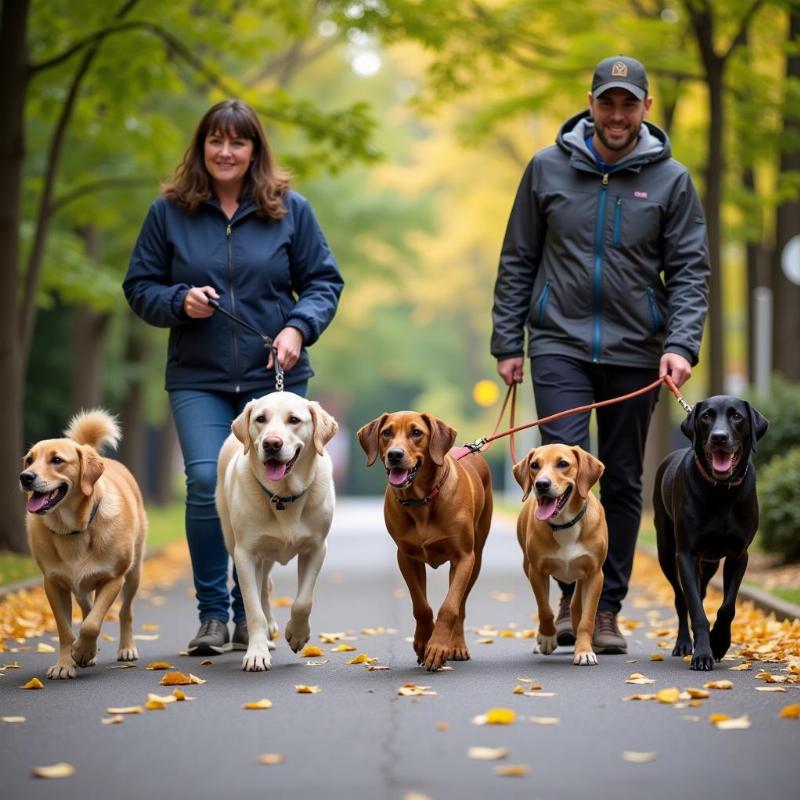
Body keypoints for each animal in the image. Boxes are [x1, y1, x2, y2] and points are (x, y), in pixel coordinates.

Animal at [20, 412, 148, 680]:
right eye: (29, 460)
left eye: (57, 460)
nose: (25, 477)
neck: (72, 530)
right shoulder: (53, 584)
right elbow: (66, 629)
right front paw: (65, 663)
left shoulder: (113, 579)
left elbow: (91, 624)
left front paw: (81, 652)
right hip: (80, 586)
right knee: (88, 606)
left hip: (133, 574)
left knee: (124, 612)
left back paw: (125, 648)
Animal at [216, 390, 338, 672]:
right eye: (261, 419)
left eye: (294, 420)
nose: (271, 443)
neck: (284, 495)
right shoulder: (246, 553)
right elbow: (253, 609)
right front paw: (257, 653)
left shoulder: (317, 548)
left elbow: (303, 602)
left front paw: (297, 634)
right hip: (236, 543)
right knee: (259, 589)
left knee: (267, 584)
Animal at [358, 412, 494, 668]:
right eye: (387, 433)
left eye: (416, 432)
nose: (395, 454)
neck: (421, 501)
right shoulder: (406, 557)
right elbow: (421, 606)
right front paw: (423, 642)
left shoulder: (463, 557)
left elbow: (450, 606)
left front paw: (438, 646)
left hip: (476, 558)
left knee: (461, 604)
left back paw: (457, 645)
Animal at [512, 446, 608, 664]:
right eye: (534, 465)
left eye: (563, 463)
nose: (541, 484)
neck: (565, 524)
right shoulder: (537, 572)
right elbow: (545, 609)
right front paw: (547, 637)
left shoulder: (595, 575)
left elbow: (587, 618)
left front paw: (584, 650)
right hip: (527, 566)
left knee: (575, 605)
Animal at [656, 396, 768, 668]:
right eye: (706, 416)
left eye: (737, 416)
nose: (719, 437)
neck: (721, 491)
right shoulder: (686, 555)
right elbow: (696, 609)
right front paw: (703, 654)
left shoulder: (739, 555)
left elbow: (727, 607)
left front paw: (719, 643)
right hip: (667, 554)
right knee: (682, 598)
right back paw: (684, 643)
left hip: (710, 564)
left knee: (701, 591)